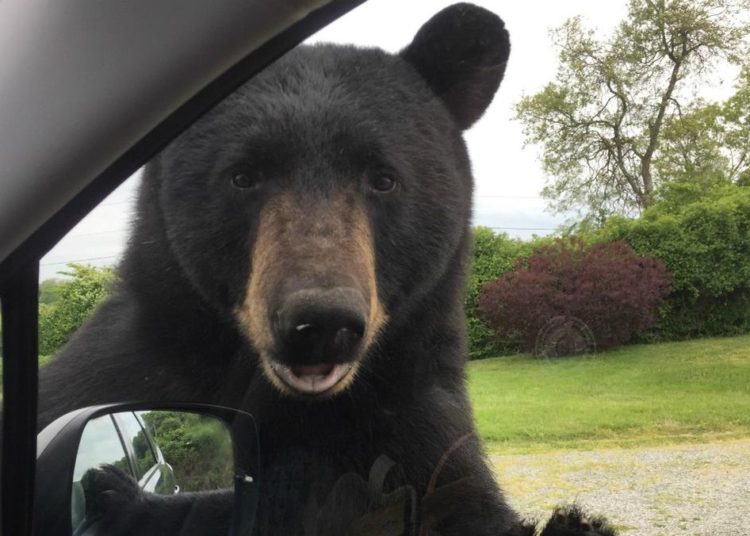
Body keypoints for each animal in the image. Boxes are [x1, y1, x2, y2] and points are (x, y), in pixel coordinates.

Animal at [35, 4, 615, 535]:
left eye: (383, 178)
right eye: (243, 175)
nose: (320, 323)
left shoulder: (414, 420)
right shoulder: (124, 370)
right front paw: (115, 490)